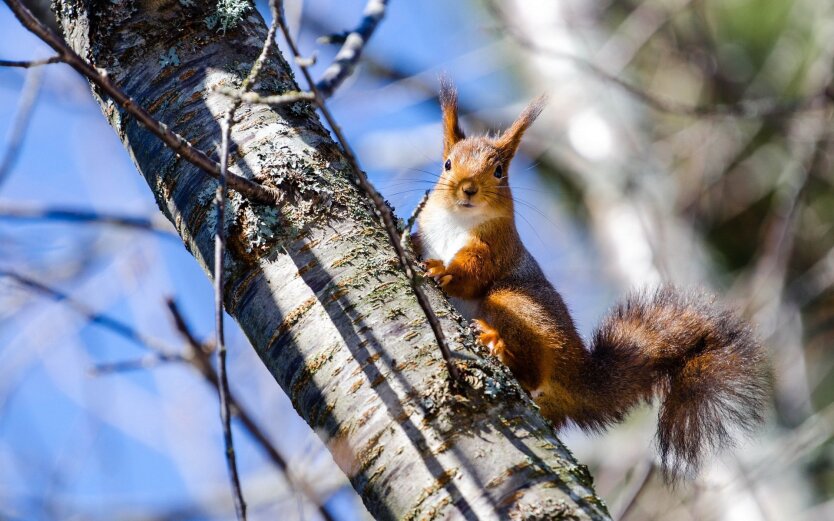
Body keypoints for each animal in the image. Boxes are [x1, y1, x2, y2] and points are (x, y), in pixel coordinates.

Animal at [414, 81, 768, 480]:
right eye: (447, 164)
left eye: (500, 171)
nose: (468, 188)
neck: (456, 222)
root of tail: (579, 375)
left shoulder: (496, 249)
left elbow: (473, 274)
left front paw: (443, 271)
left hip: (516, 304)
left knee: (529, 369)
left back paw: (497, 343)